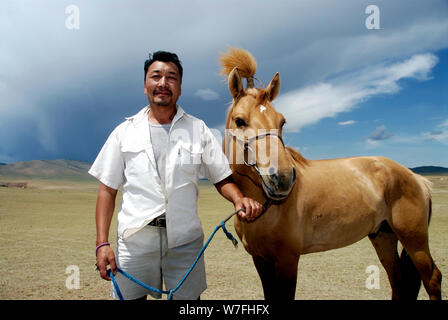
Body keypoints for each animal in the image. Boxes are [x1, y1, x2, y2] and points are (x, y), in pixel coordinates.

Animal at [220, 47, 440, 300]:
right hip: (383, 235)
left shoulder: (287, 260)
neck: (263, 208)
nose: (283, 178)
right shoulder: (261, 260)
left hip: (415, 240)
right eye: (240, 121)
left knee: (432, 278)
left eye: (282, 122)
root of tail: (415, 177)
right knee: (398, 281)